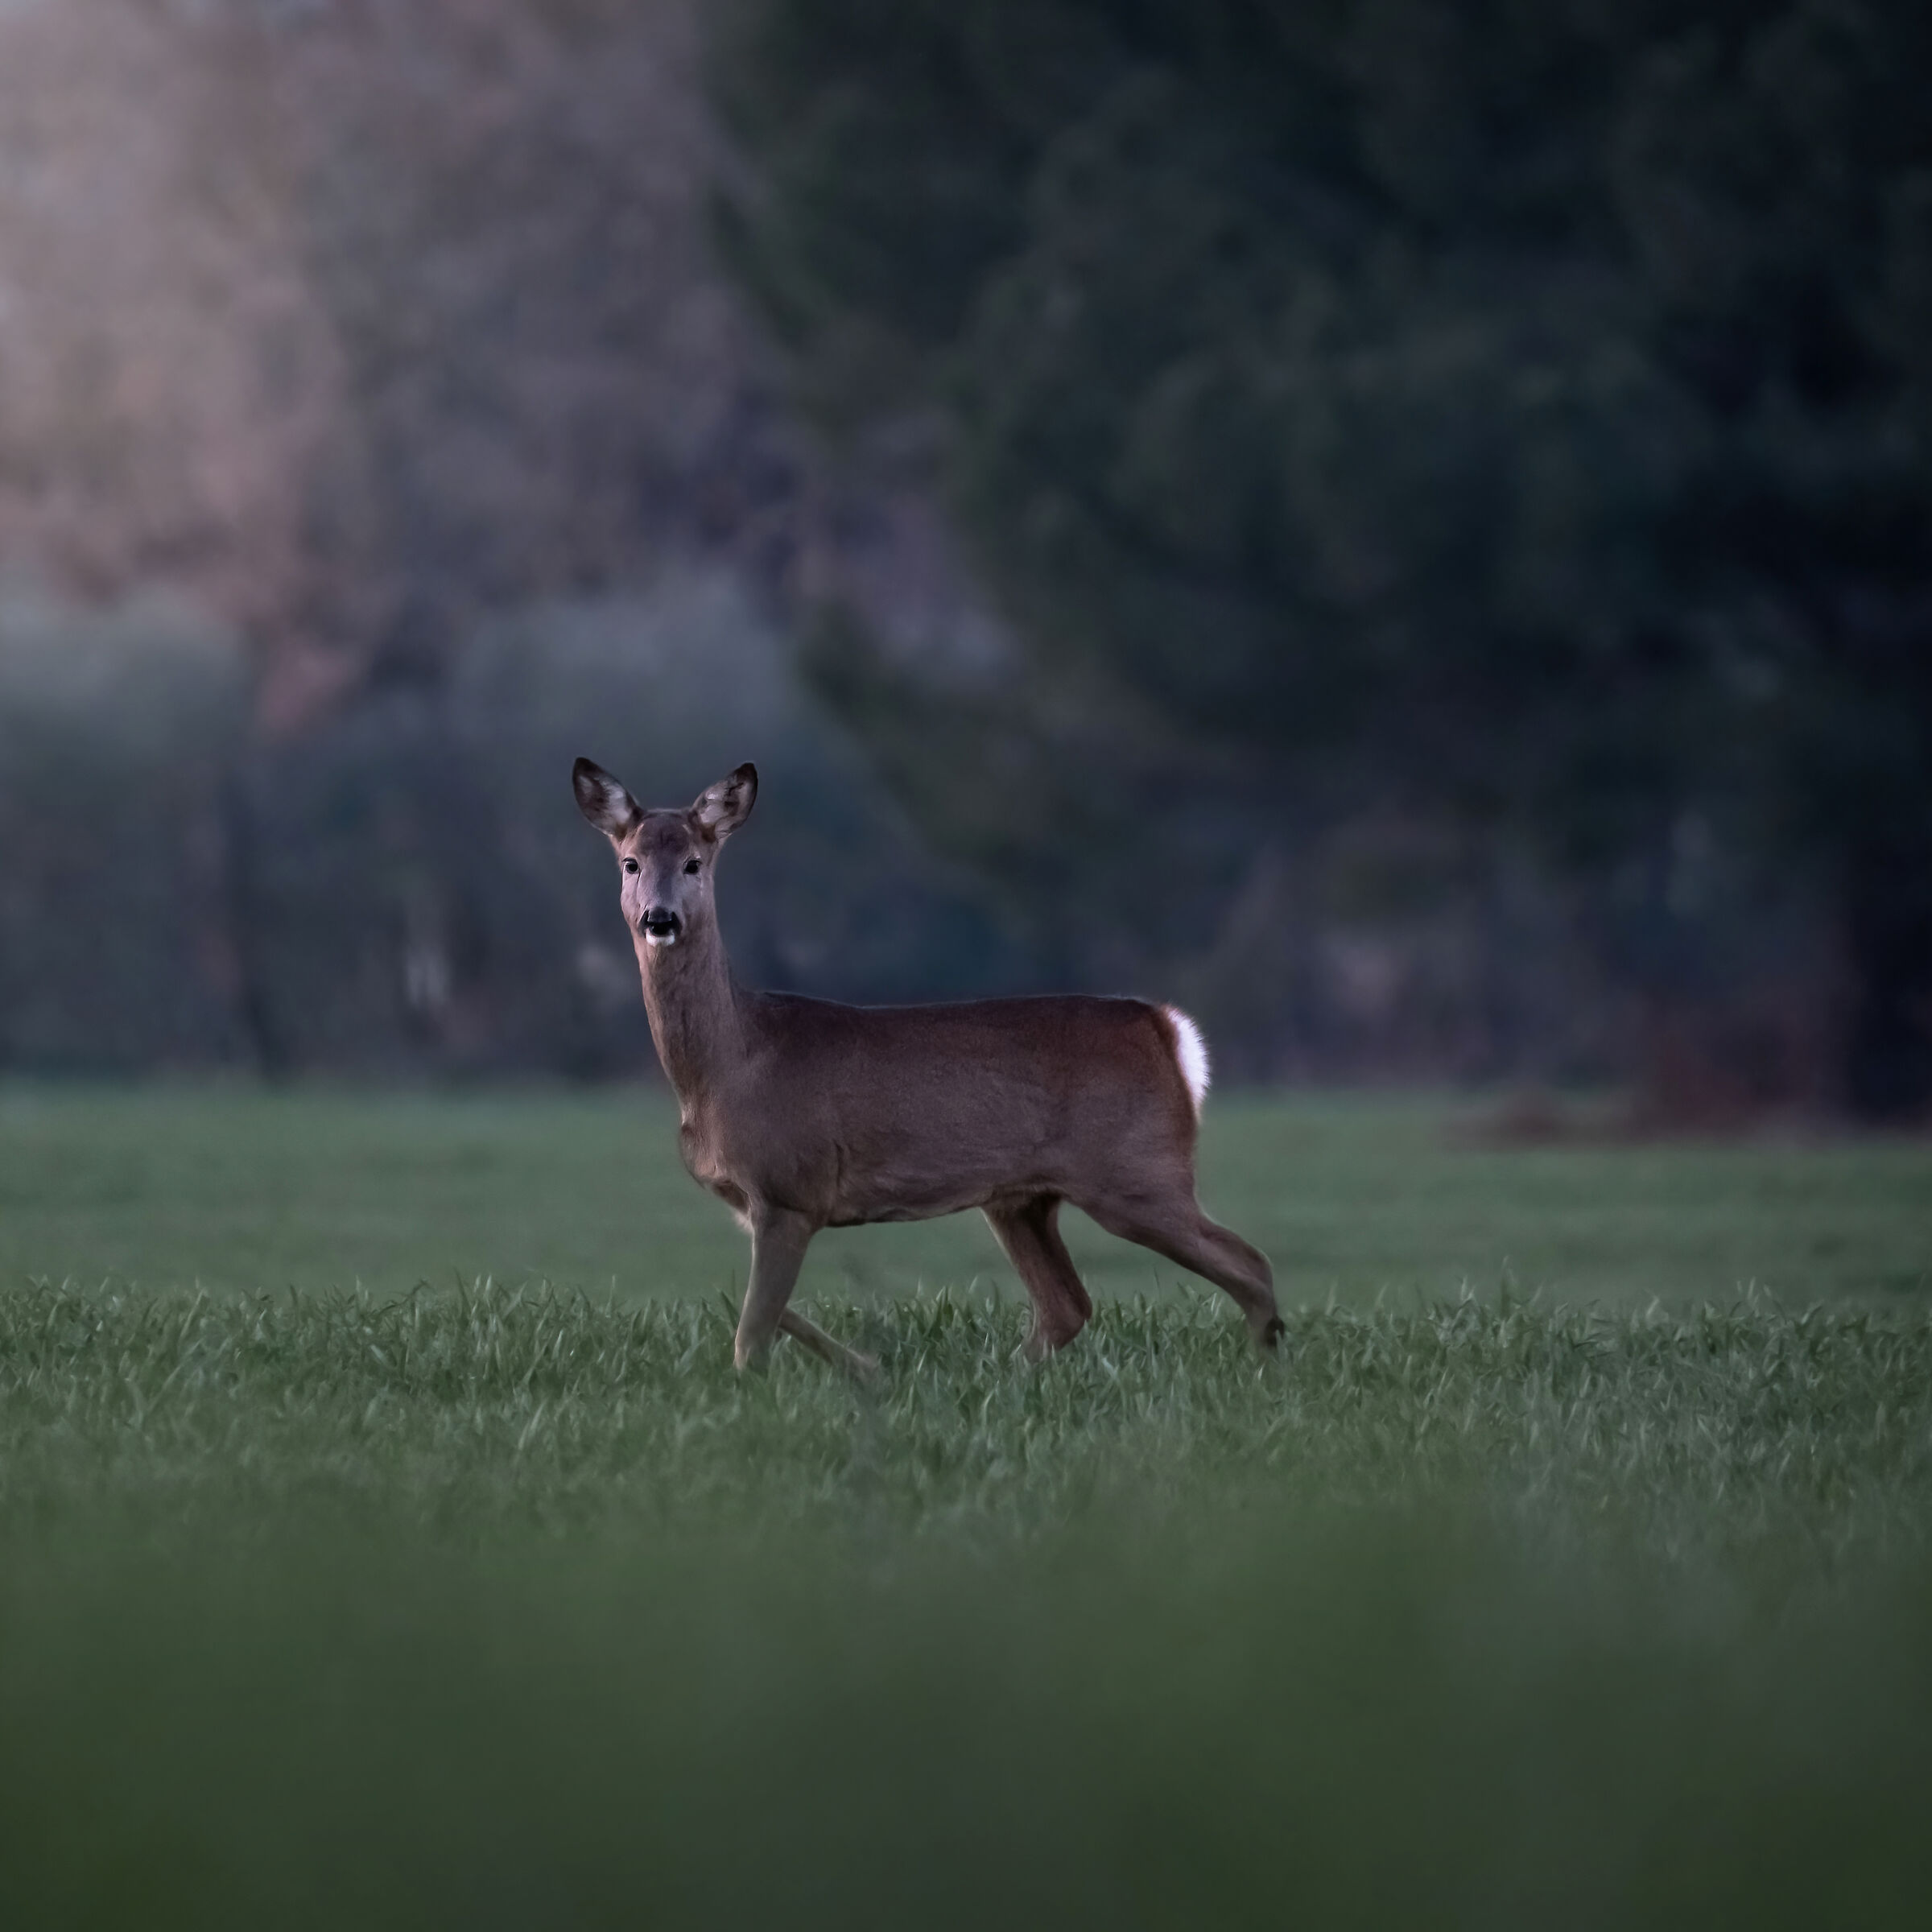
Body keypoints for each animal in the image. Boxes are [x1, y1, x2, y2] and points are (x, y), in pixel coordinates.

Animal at [572, 756, 1284, 1374]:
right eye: (631, 862)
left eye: (694, 862)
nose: (659, 918)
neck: (730, 1062)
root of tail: (1167, 1029)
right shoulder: (759, 1205)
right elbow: (760, 1311)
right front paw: (866, 1368)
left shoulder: (790, 1188)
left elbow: (753, 1330)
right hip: (1022, 1198)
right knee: (1067, 1306)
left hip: (1137, 1171)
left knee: (1250, 1263)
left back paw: (1266, 1368)